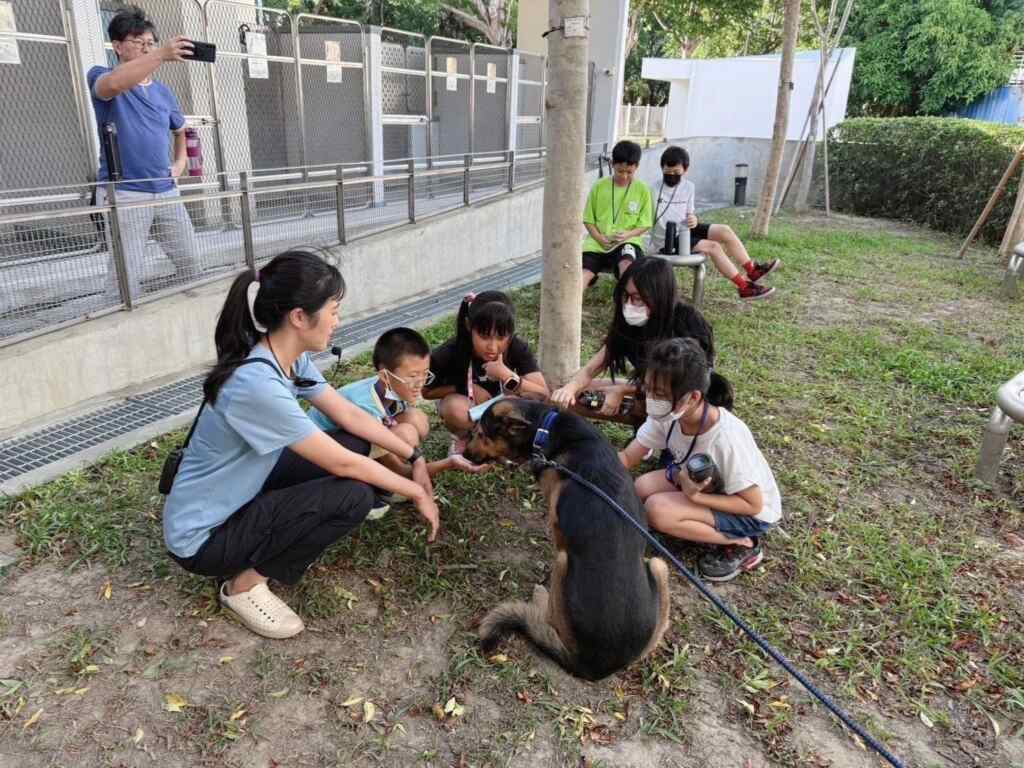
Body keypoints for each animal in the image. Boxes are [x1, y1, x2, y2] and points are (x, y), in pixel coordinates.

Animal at [464, 397, 671, 679]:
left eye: (482, 434)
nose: (464, 454)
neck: (545, 428)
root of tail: (595, 666)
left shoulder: (558, 527)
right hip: (659, 567)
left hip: (563, 562)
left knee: (550, 617)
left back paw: (540, 597)